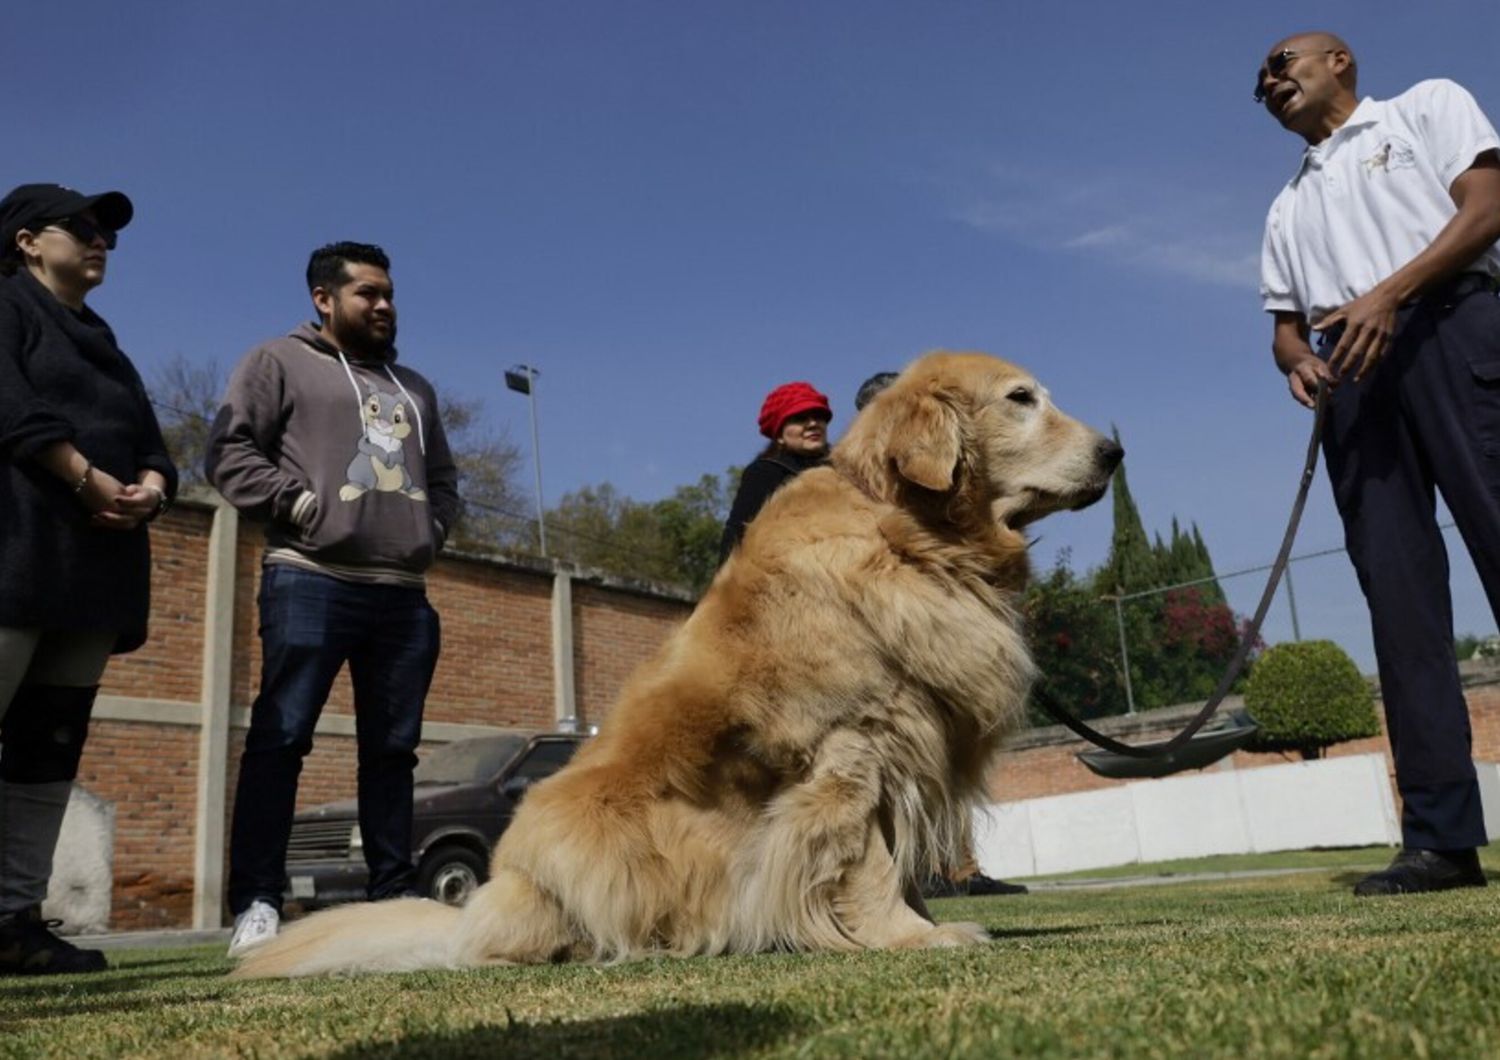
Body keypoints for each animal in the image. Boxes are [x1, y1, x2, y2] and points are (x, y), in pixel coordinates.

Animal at [234, 350, 1122, 977]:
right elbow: (866, 866)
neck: (910, 533)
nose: (1116, 448)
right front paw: (908, 937)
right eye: (1021, 399)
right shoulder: (850, 752)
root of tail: (476, 910)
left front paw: (913, 925)